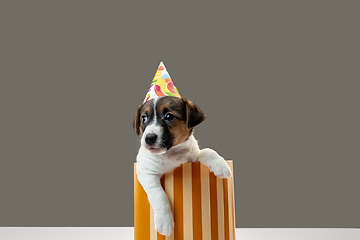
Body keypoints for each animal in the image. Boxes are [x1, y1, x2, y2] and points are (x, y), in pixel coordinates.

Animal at [132, 96, 231, 236]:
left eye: (169, 116)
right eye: (143, 118)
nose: (149, 138)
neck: (172, 153)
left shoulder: (193, 157)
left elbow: (207, 151)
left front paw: (221, 165)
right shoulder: (147, 172)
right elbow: (160, 195)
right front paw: (165, 222)